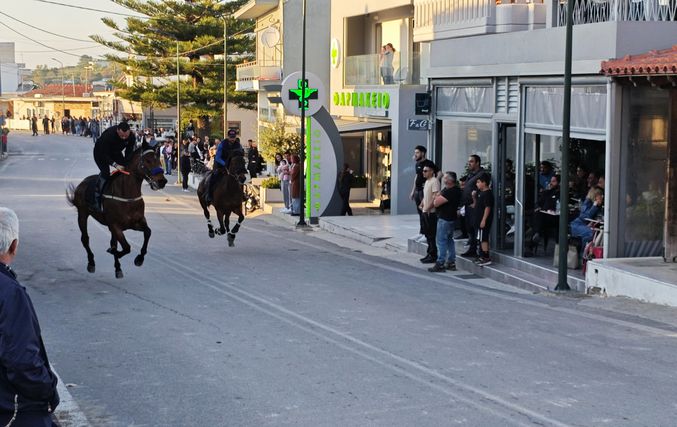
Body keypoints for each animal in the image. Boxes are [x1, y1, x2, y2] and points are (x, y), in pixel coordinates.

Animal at [67, 145, 168, 278]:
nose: (162, 181)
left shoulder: (135, 223)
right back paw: (91, 262)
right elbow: (126, 247)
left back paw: (117, 267)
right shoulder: (115, 225)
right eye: (148, 160)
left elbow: (147, 232)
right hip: (82, 214)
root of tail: (82, 183)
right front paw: (117, 254)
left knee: (112, 242)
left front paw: (139, 259)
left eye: (158, 160)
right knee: (85, 239)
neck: (127, 195)